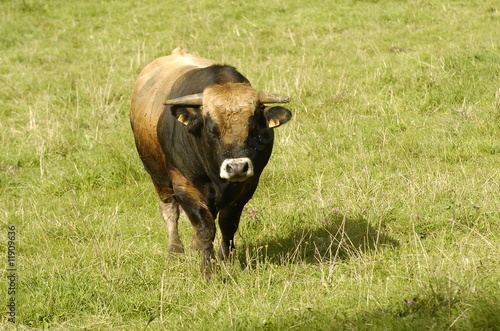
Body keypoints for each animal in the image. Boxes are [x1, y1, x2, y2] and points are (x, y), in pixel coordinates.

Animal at [131, 46, 292, 278]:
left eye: (254, 127)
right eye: (211, 128)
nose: (237, 167)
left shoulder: (247, 186)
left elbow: (227, 223)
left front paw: (225, 257)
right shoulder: (184, 186)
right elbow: (205, 227)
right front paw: (208, 268)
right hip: (158, 178)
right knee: (171, 213)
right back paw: (175, 251)